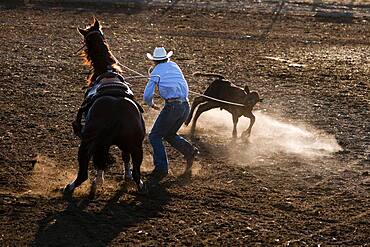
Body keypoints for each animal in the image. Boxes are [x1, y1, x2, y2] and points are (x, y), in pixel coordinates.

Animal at [63, 18, 146, 198]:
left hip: (87, 143)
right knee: (136, 172)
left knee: (83, 174)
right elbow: (124, 158)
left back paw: (70, 187)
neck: (106, 71)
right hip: (136, 146)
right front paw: (125, 175)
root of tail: (116, 115)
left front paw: (98, 180)